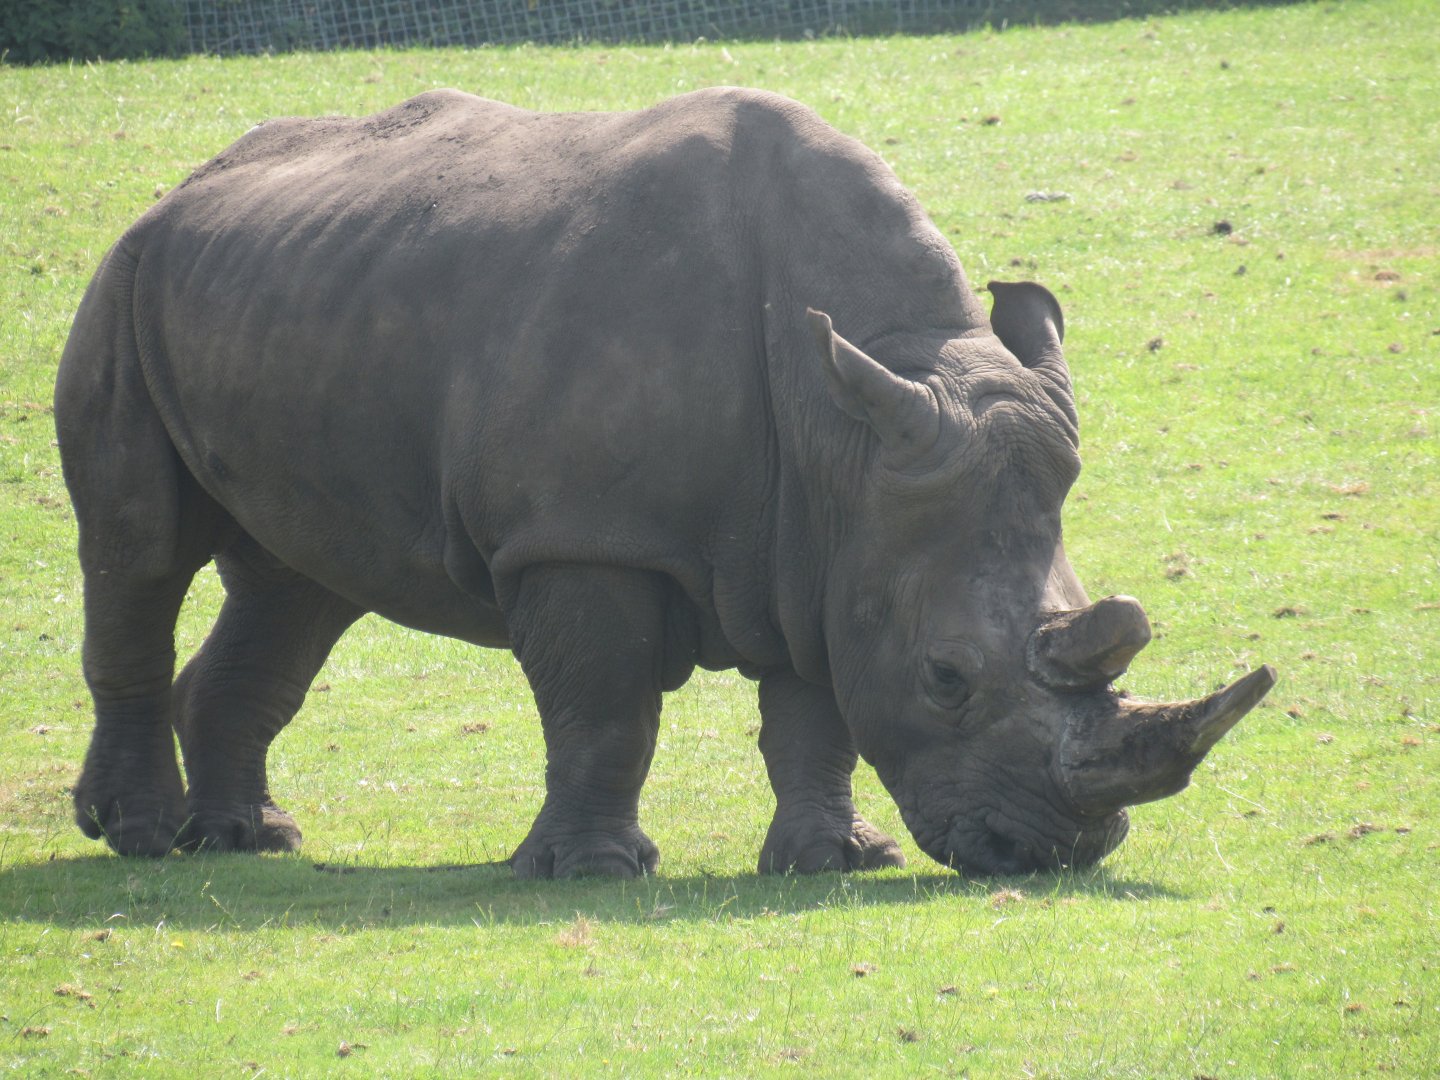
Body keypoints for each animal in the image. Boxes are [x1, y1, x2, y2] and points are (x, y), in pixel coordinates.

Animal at [55, 87, 1274, 877]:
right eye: (945, 679)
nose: (1057, 854)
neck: (845, 421)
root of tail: (183, 185)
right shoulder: (583, 532)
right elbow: (606, 707)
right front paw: (594, 872)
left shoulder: (835, 535)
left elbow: (817, 708)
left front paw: (833, 861)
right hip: (120, 278)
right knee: (139, 550)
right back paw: (143, 841)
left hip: (289, 297)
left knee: (294, 583)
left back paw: (248, 840)